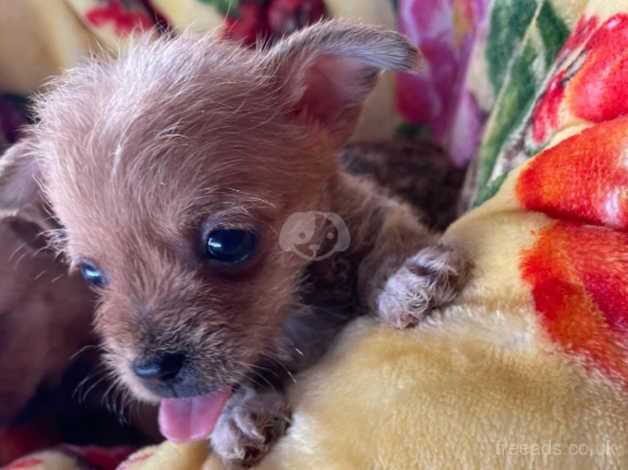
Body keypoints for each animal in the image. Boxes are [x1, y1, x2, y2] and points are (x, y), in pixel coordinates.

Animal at [1, 21, 466, 466]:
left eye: (226, 243)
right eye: (92, 274)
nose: (150, 369)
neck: (295, 316)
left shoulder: (375, 211)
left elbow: (389, 239)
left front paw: (405, 275)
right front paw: (237, 415)